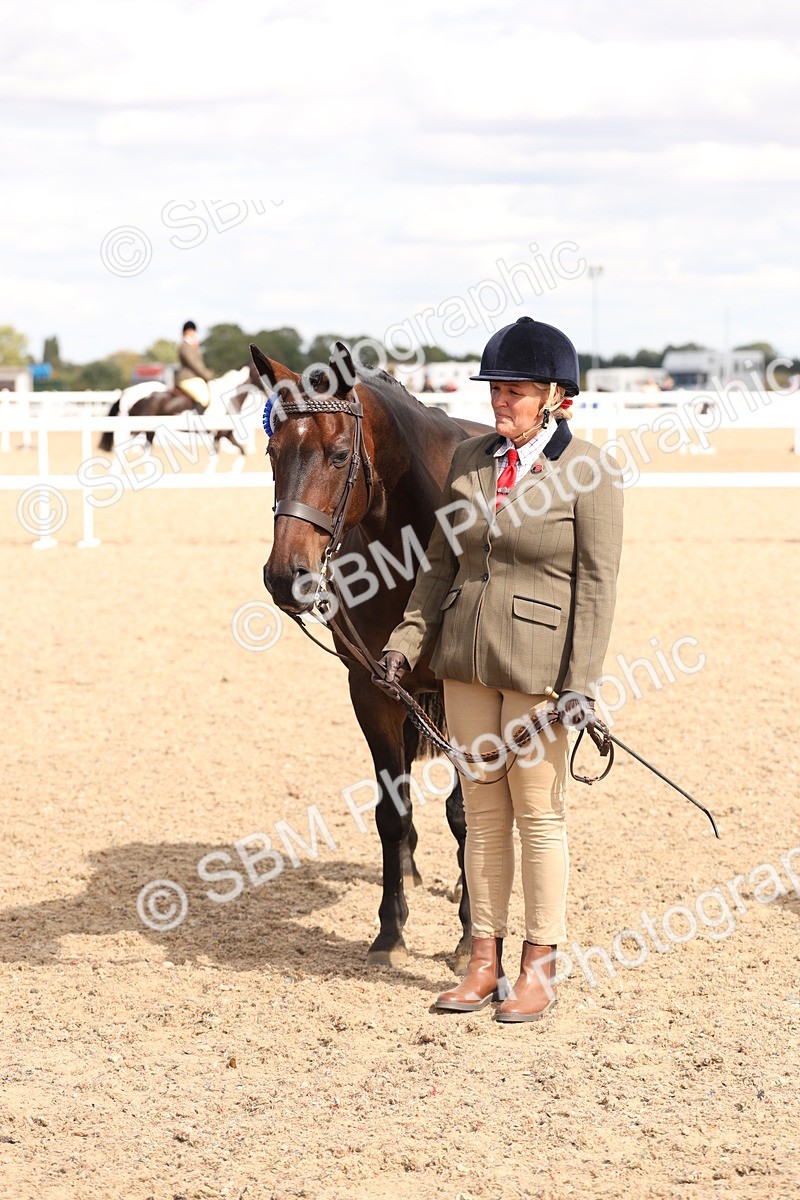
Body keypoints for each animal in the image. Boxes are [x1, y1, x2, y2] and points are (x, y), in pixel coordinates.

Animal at [98, 367, 260, 455]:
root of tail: (128, 392)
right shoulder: (219, 434)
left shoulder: (226, 434)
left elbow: (242, 451)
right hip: (140, 426)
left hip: (148, 429)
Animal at [253, 340, 492, 971]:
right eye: (273, 452)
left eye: (340, 455)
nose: (285, 576)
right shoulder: (373, 688)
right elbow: (392, 811)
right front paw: (390, 930)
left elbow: (465, 812)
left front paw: (468, 935)